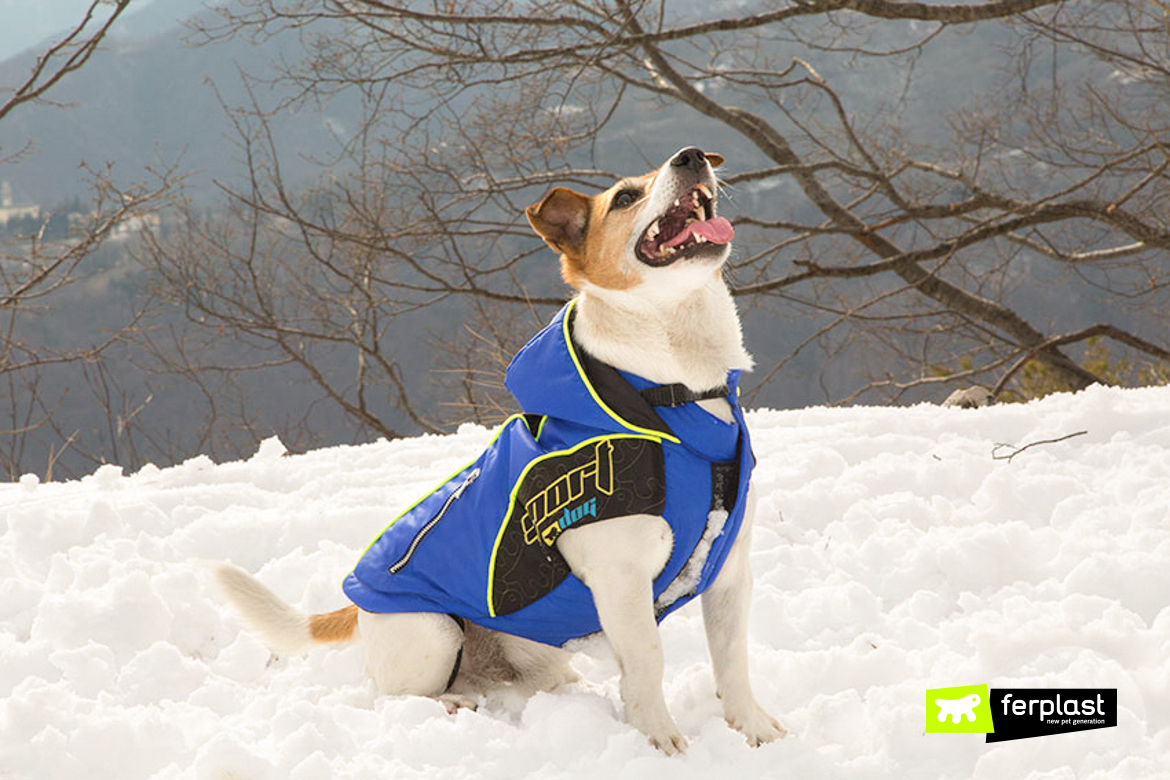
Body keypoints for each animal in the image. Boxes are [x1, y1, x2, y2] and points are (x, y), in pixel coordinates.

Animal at [217, 147, 786, 757]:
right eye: (626, 198)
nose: (692, 156)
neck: (673, 392)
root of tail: (358, 605)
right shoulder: (621, 578)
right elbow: (648, 662)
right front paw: (660, 740)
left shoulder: (730, 572)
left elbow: (732, 661)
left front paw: (754, 728)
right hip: (434, 631)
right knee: (395, 695)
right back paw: (451, 703)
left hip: (531, 645)